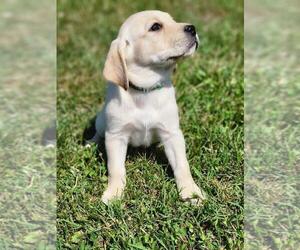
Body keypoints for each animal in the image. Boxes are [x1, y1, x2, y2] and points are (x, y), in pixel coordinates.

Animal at [94, 10, 205, 204]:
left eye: (173, 20)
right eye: (155, 27)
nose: (192, 28)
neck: (145, 90)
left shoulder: (172, 134)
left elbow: (182, 165)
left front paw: (191, 192)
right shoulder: (116, 136)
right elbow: (116, 168)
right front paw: (114, 193)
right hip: (101, 122)